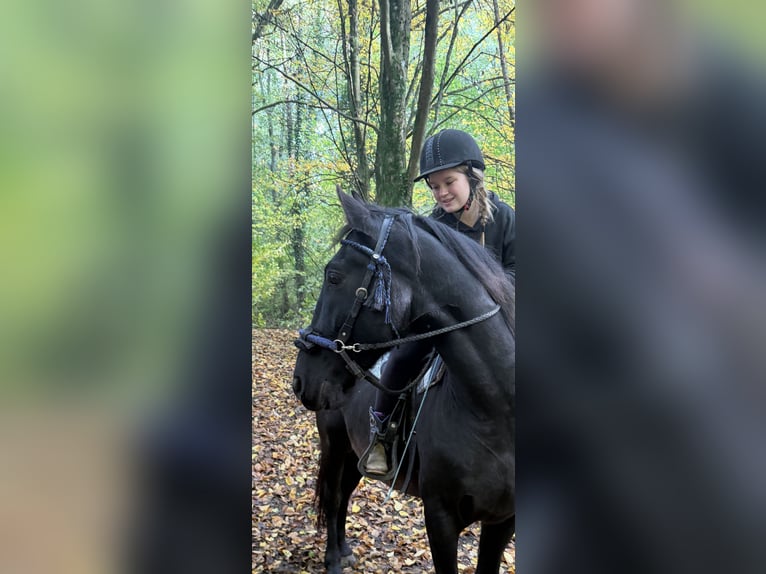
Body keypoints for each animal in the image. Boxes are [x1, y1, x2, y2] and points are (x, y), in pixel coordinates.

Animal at [292, 189, 515, 574]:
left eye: (333, 276)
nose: (301, 378)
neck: (495, 413)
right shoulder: (440, 518)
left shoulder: (503, 521)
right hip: (334, 444)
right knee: (334, 496)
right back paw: (333, 558)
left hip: (354, 452)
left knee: (345, 493)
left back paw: (344, 548)